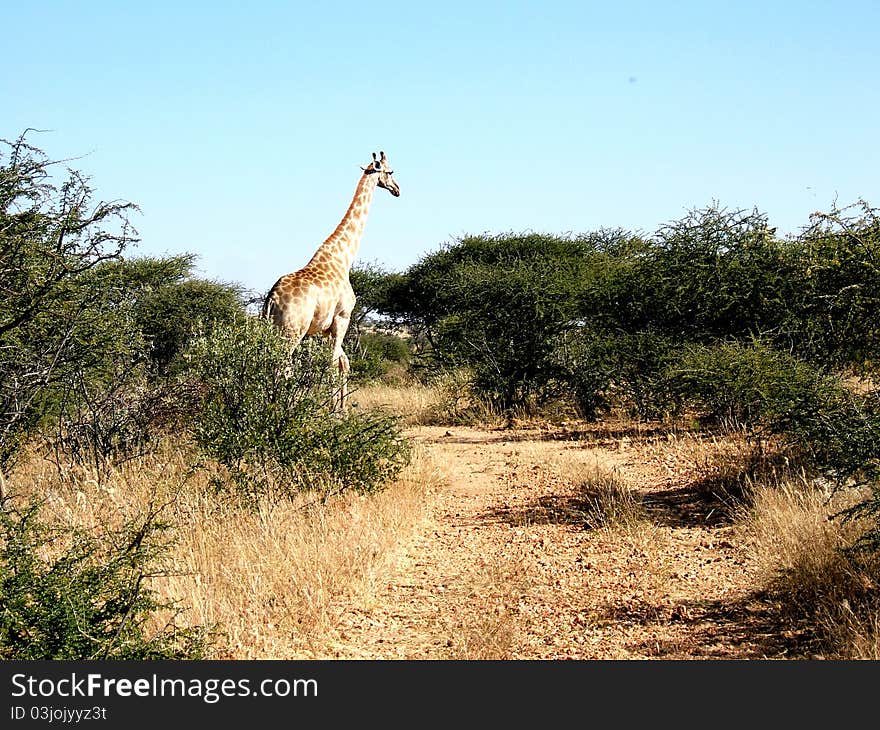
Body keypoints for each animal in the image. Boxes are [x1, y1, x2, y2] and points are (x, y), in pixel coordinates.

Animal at [260, 151, 400, 410]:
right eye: (390, 171)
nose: (397, 189)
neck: (343, 258)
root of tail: (271, 300)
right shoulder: (343, 318)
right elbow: (333, 363)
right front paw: (332, 410)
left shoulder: (326, 328)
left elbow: (342, 362)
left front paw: (339, 408)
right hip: (292, 332)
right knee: (283, 368)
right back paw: (285, 407)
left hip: (271, 329)